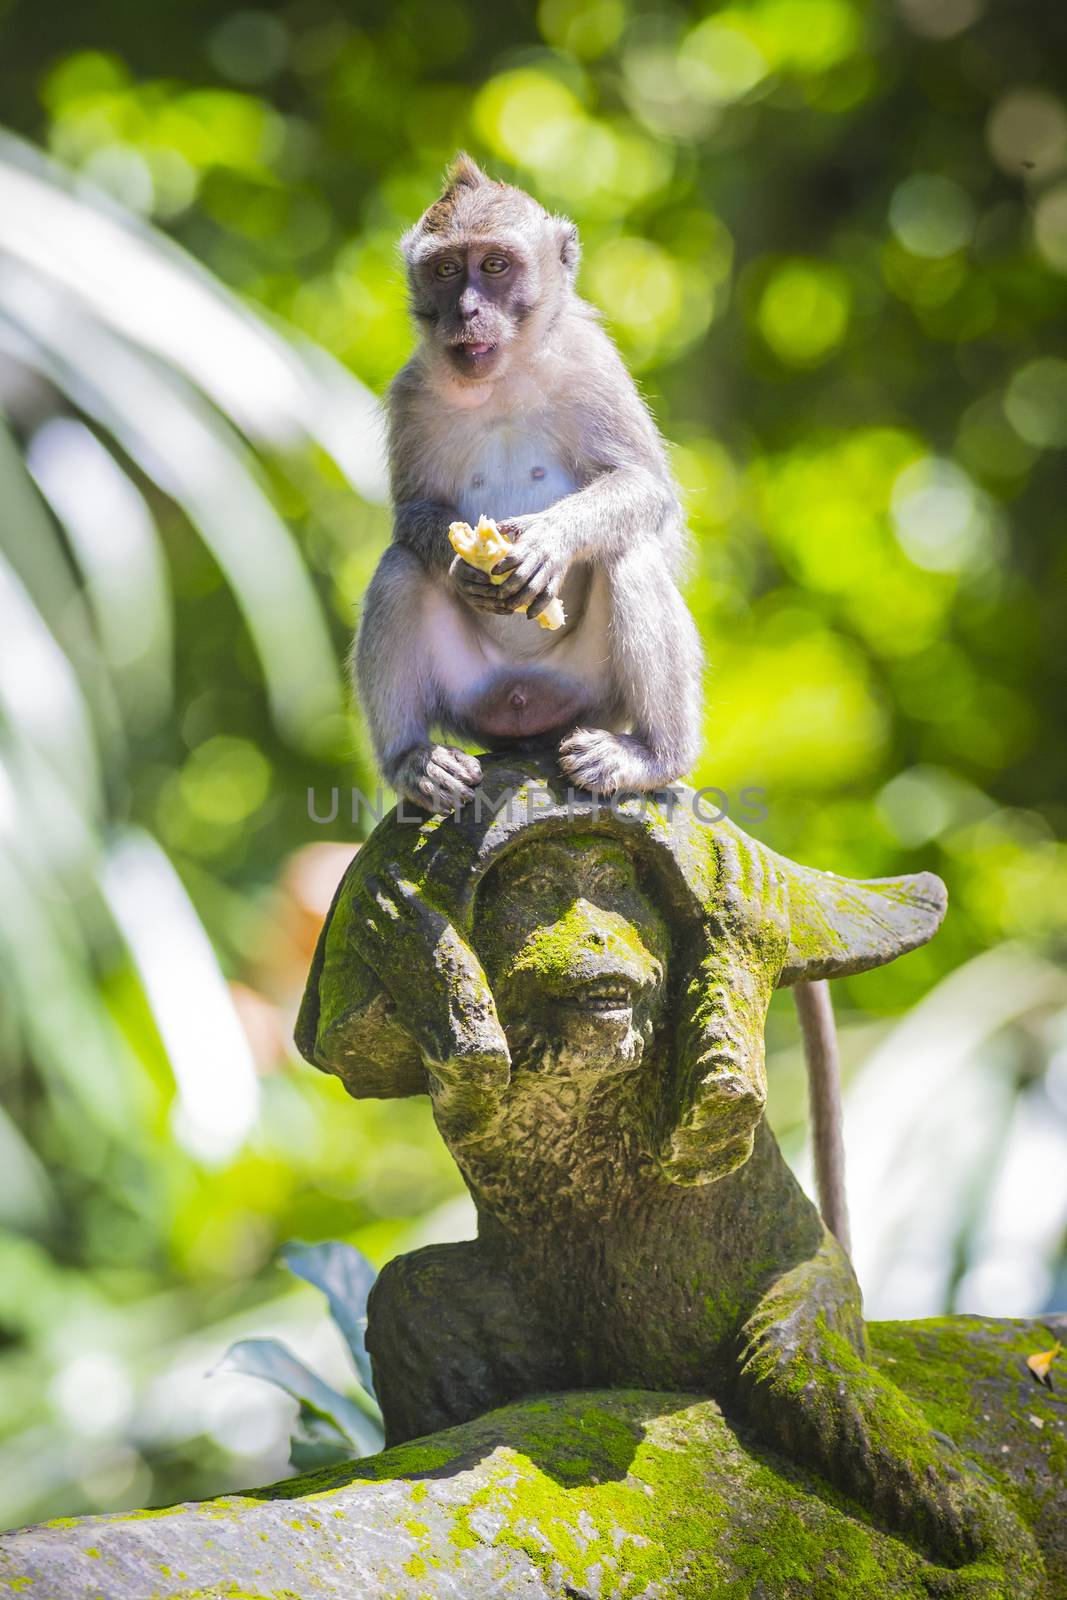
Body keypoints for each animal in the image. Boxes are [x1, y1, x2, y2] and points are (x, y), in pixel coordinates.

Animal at [355, 150, 703, 819]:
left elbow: (643, 486)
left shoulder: (593, 364)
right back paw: (414, 762)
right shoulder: (412, 392)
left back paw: (653, 756)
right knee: (400, 564)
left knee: (628, 551)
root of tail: (527, 708)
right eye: (445, 270)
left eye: (493, 265)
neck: (503, 377)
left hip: (591, 691)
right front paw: (462, 564)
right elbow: (413, 512)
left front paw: (547, 543)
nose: (466, 310)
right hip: (473, 691)